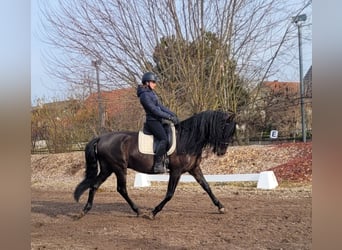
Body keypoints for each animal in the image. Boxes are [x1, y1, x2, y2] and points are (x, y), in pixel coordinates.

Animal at [74, 110, 235, 218]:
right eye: (223, 128)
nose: (222, 151)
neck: (187, 139)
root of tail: (101, 138)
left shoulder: (194, 169)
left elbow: (207, 187)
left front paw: (221, 207)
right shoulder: (176, 171)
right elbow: (170, 193)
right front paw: (153, 212)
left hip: (108, 168)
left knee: (95, 186)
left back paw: (84, 211)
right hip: (119, 168)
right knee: (121, 189)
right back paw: (138, 211)